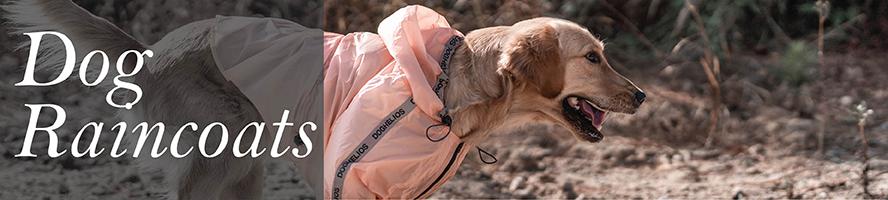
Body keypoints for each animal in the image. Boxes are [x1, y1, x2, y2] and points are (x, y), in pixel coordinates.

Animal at [1, 0, 644, 198]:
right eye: (593, 57)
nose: (640, 95)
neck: (447, 89)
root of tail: (151, 50)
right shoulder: (349, 179)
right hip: (215, 159)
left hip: (244, 169)